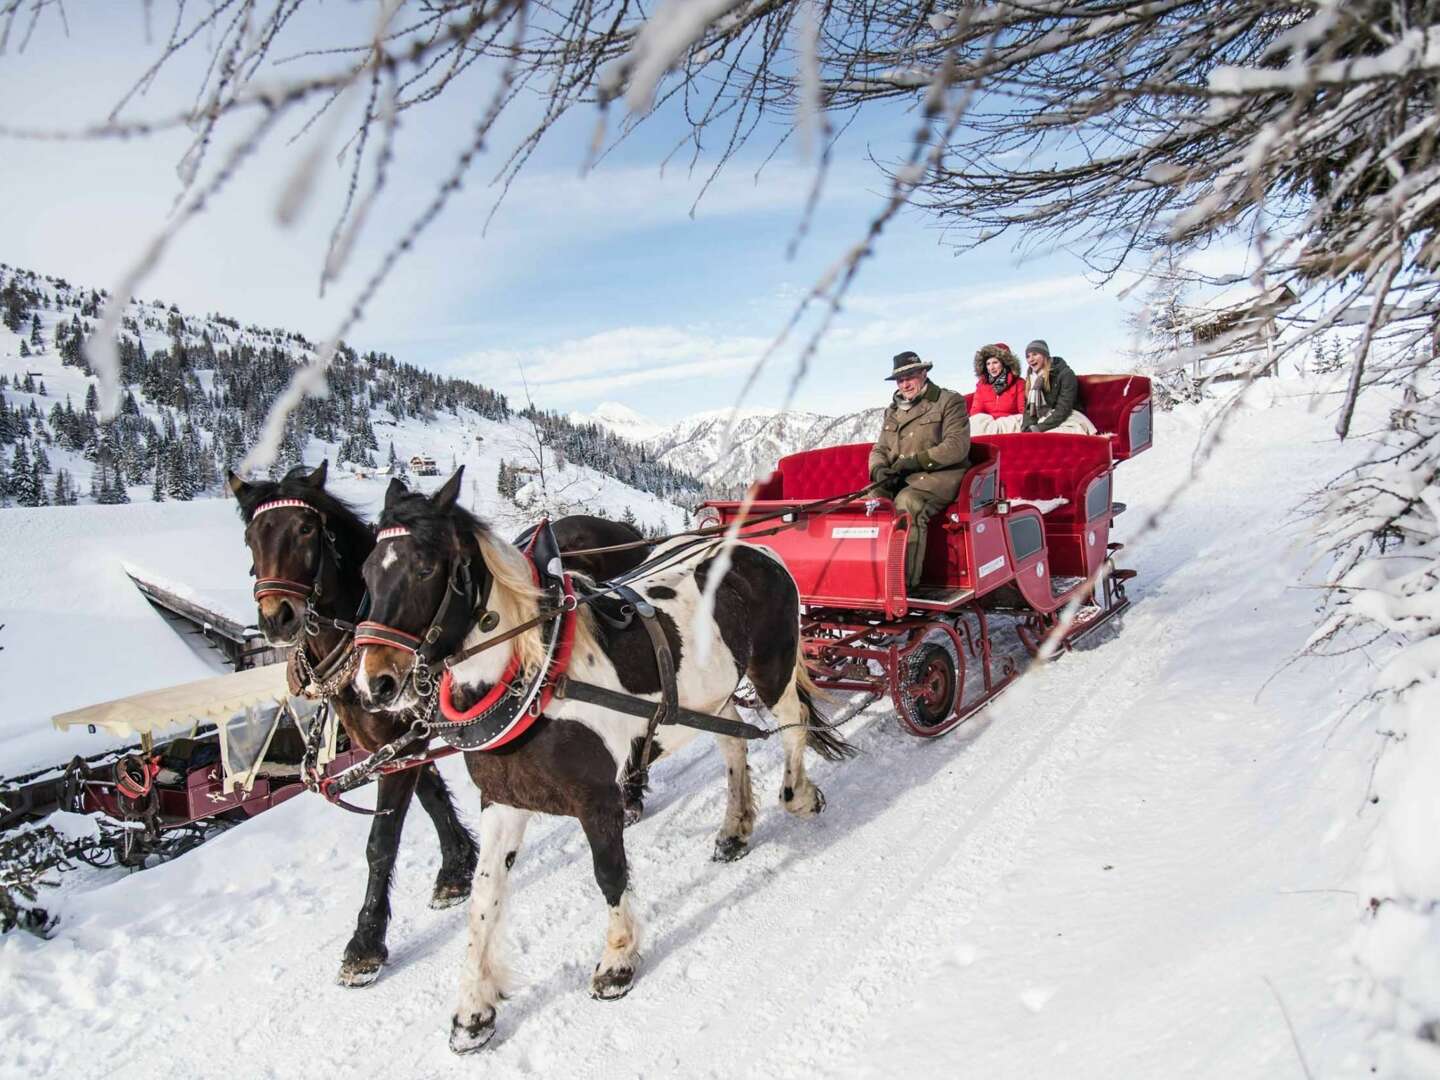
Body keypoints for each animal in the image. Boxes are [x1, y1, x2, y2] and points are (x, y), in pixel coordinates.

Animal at [349, 472, 846, 1059]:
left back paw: (800, 795)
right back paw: (735, 829)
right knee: (733, 745)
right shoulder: (503, 802)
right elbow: (484, 898)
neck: (534, 677)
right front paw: (474, 1009)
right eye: (365, 572)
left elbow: (609, 874)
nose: (373, 684)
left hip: (773, 667)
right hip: (711, 696)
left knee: (793, 725)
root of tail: (753, 548)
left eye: (425, 567)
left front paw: (617, 961)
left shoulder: (597, 798)